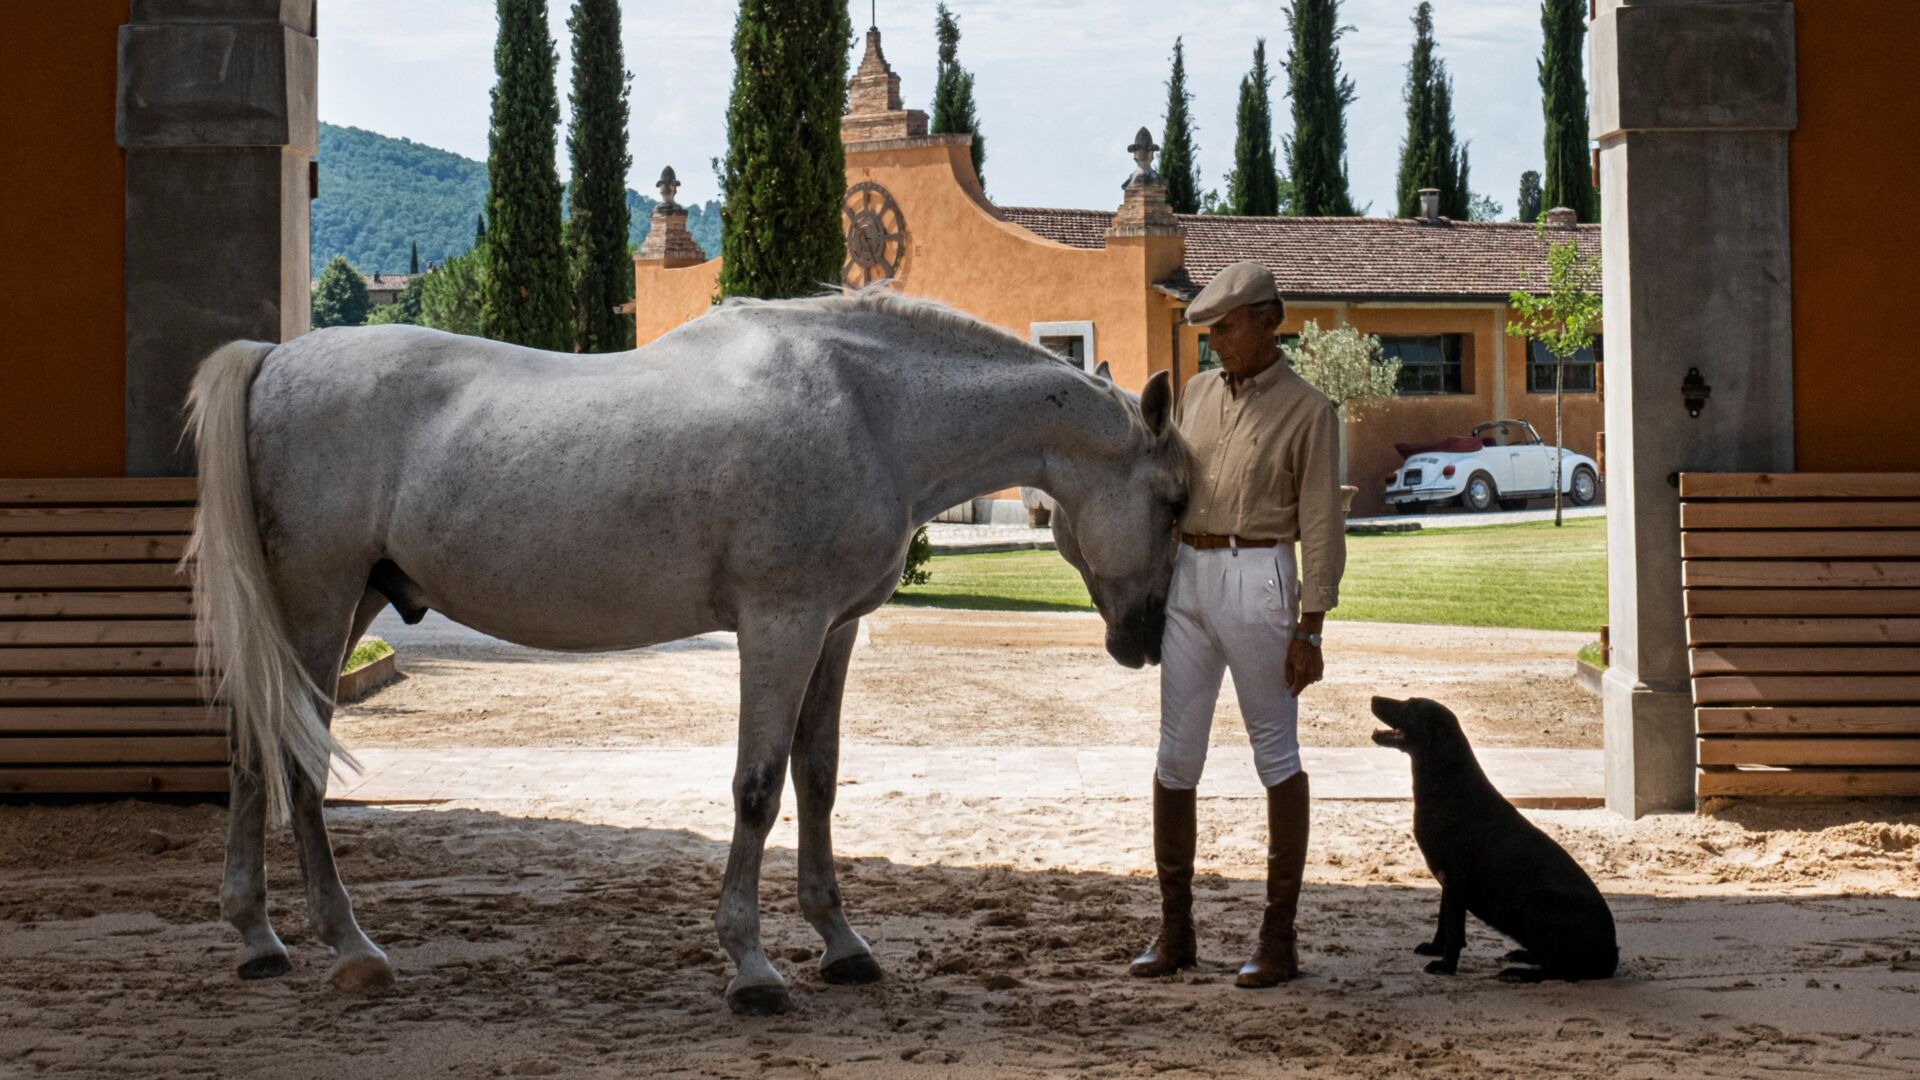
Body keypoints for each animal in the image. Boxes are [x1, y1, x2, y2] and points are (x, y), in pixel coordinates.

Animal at [185, 288, 1188, 1015]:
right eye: (1176, 499)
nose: (1146, 640)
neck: (867, 408)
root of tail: (277, 357)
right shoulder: (780, 624)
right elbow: (758, 786)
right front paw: (751, 966)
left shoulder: (833, 629)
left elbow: (818, 779)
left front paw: (841, 944)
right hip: (319, 604)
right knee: (297, 762)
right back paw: (351, 950)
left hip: (343, 606)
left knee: (250, 754)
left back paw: (259, 941)